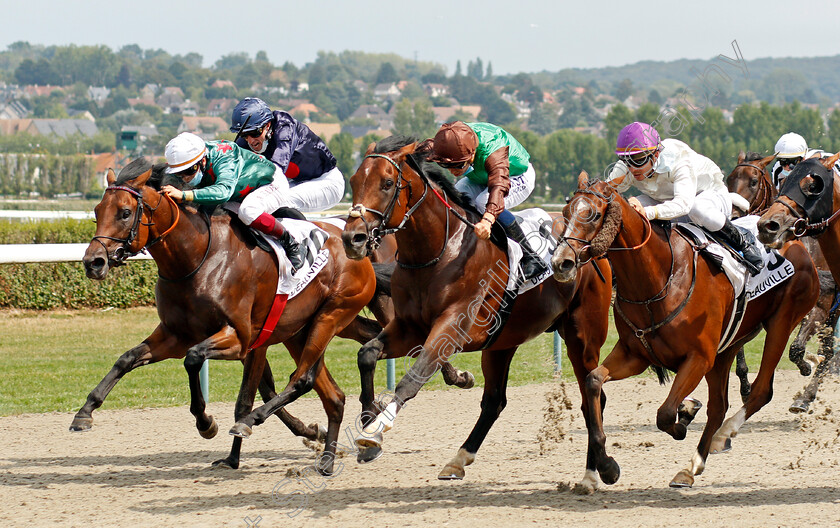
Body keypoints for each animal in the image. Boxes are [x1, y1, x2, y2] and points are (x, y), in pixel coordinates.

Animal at [75, 158, 384, 474]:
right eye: (97, 212)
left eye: (125, 213)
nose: (93, 262)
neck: (198, 258)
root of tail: (356, 249)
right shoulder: (175, 335)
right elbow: (126, 359)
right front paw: (85, 412)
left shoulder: (241, 339)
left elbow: (199, 363)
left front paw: (207, 424)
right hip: (300, 333)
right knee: (333, 396)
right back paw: (327, 458)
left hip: (331, 316)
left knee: (303, 379)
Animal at [332, 135, 612, 482]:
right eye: (354, 181)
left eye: (386, 183)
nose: (352, 238)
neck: (439, 251)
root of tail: (588, 246)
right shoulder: (410, 326)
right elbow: (367, 354)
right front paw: (369, 423)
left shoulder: (451, 328)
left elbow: (413, 377)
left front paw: (374, 432)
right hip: (503, 341)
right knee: (495, 401)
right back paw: (458, 460)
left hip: (582, 335)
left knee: (592, 396)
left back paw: (596, 471)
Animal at [552, 171, 820, 488]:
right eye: (565, 212)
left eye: (592, 214)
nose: (560, 262)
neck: (657, 278)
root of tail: (798, 244)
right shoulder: (635, 354)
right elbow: (593, 381)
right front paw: (607, 467)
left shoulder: (698, 358)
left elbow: (665, 413)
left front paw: (684, 416)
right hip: (728, 346)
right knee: (719, 405)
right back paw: (691, 466)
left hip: (781, 322)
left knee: (760, 391)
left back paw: (721, 437)